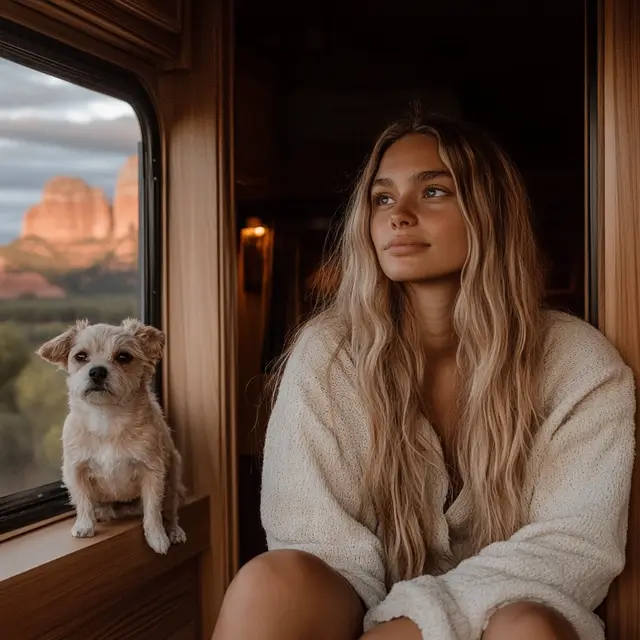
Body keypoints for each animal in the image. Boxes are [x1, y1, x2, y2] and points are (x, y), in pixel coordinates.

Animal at [37, 318, 186, 552]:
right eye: (81, 356)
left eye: (123, 357)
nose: (97, 371)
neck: (106, 418)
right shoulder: (75, 469)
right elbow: (82, 500)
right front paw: (84, 525)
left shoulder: (153, 472)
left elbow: (153, 509)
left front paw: (157, 536)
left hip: (172, 475)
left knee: (170, 510)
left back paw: (173, 530)